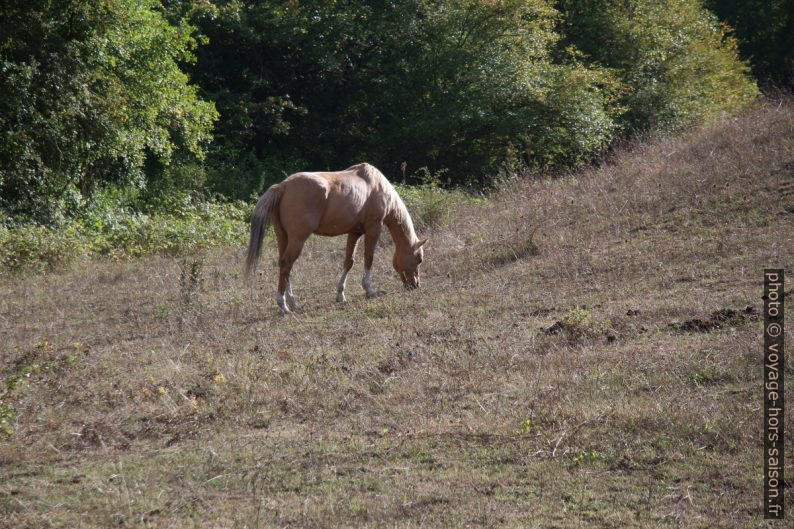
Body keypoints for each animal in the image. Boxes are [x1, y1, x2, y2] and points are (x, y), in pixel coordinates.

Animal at [244, 162, 426, 314]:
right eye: (419, 259)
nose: (416, 285)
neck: (375, 185)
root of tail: (283, 186)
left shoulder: (354, 233)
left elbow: (349, 261)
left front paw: (340, 295)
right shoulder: (374, 228)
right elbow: (369, 258)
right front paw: (369, 290)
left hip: (283, 238)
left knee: (284, 267)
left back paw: (292, 304)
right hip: (297, 240)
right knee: (286, 265)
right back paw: (284, 305)